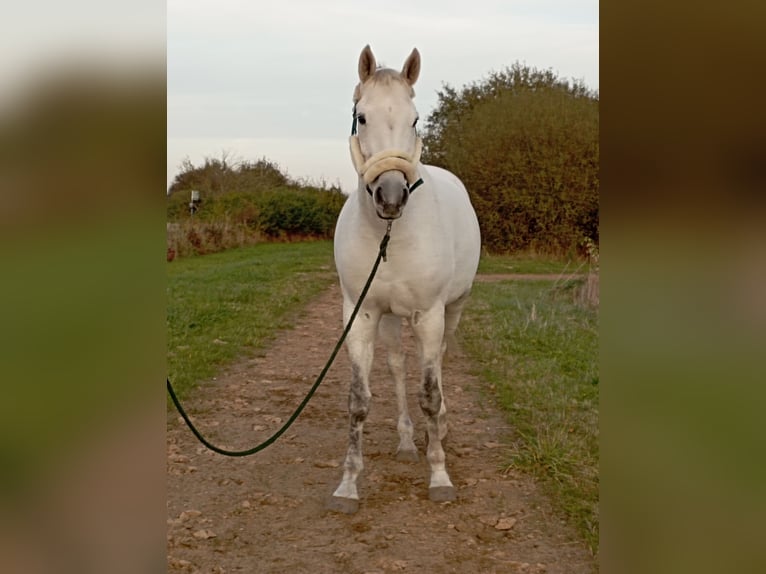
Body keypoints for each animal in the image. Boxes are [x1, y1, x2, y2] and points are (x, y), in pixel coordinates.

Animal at [330, 44, 480, 512]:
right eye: (362, 117)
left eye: (415, 120)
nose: (391, 197)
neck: (392, 235)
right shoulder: (360, 315)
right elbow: (358, 400)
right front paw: (348, 484)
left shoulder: (430, 314)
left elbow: (429, 394)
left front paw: (439, 475)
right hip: (393, 318)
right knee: (397, 367)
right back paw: (406, 441)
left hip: (453, 308)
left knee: (441, 360)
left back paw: (440, 431)